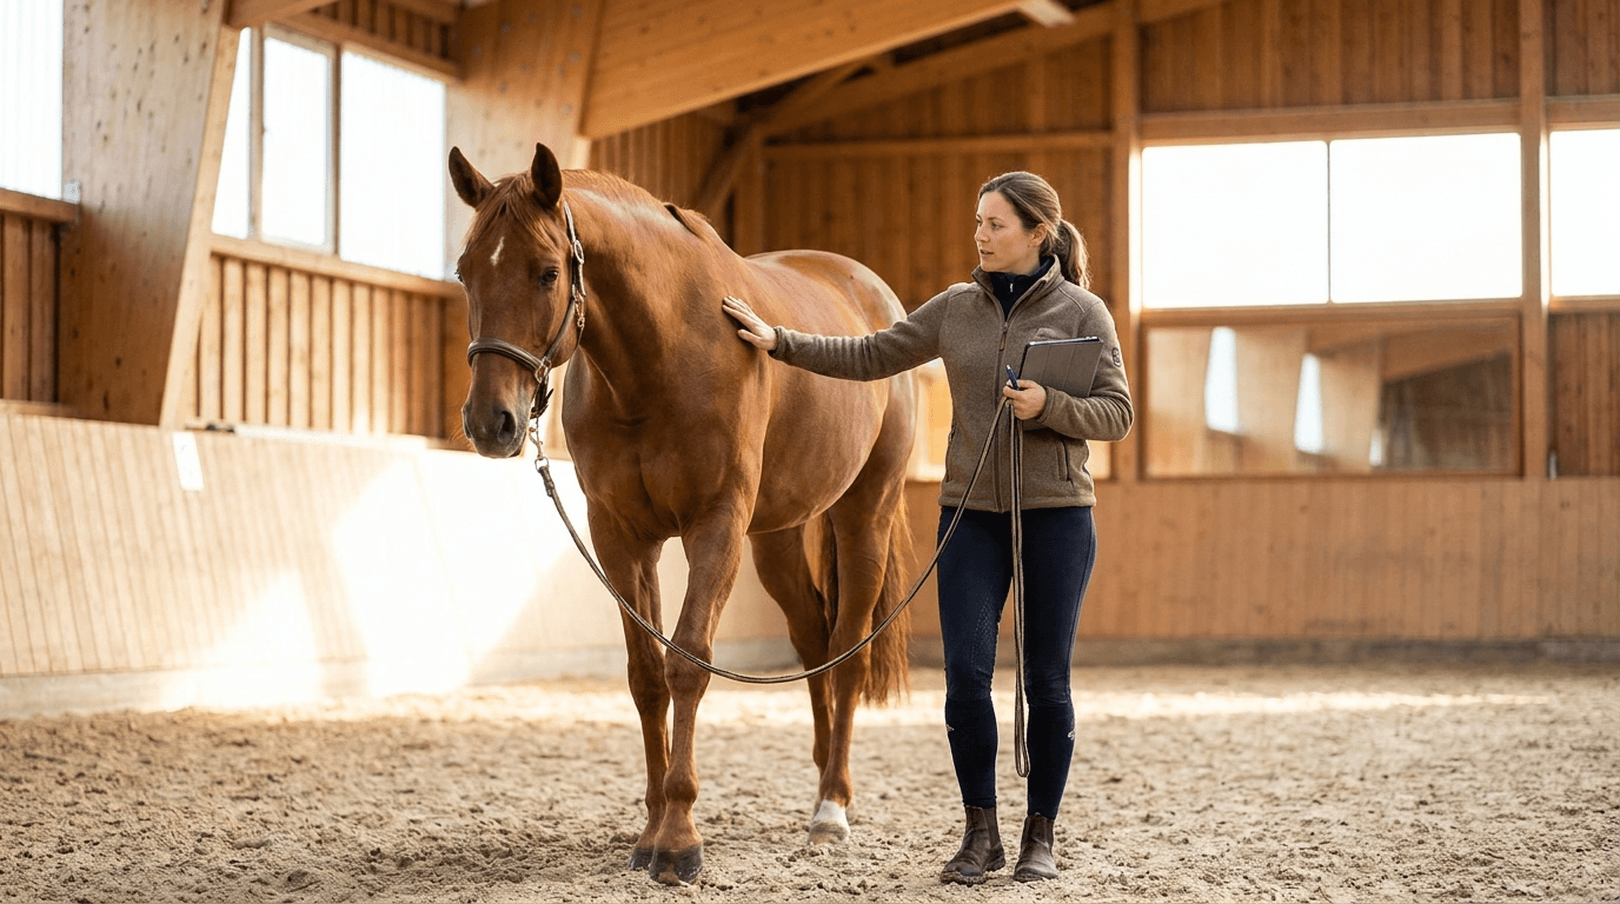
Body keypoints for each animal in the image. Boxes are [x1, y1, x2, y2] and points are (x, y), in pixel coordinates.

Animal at [448, 143, 916, 885]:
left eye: (547, 272)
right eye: (466, 272)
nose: (491, 422)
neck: (658, 359)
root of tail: (869, 290)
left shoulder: (714, 528)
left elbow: (688, 664)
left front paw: (678, 841)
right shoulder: (621, 536)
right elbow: (645, 676)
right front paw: (648, 829)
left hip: (862, 516)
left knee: (849, 650)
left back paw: (831, 809)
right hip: (777, 539)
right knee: (815, 640)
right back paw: (818, 779)